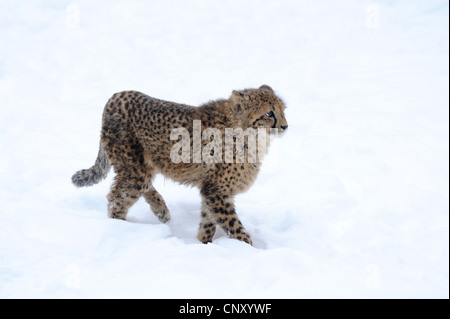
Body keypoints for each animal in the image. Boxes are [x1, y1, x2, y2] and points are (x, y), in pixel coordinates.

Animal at [71, 85, 288, 245]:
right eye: (269, 113)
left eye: (283, 110)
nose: (285, 126)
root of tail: (117, 95)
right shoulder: (217, 190)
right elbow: (233, 225)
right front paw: (249, 249)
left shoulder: (211, 189)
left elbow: (208, 221)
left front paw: (204, 243)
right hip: (132, 168)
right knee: (117, 197)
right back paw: (124, 229)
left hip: (142, 167)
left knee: (138, 188)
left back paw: (161, 210)